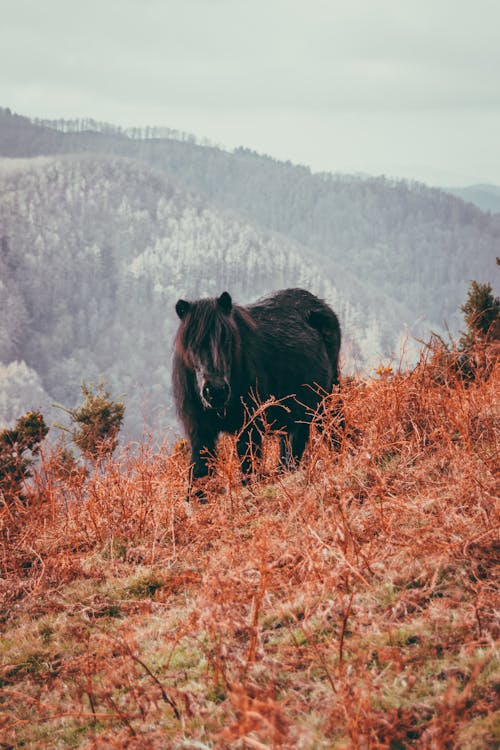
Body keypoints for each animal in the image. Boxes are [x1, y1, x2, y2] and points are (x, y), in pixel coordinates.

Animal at [172, 288, 340, 494]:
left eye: (226, 339)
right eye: (192, 343)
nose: (216, 392)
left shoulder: (249, 429)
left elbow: (248, 471)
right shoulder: (201, 434)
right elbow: (198, 475)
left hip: (326, 397)